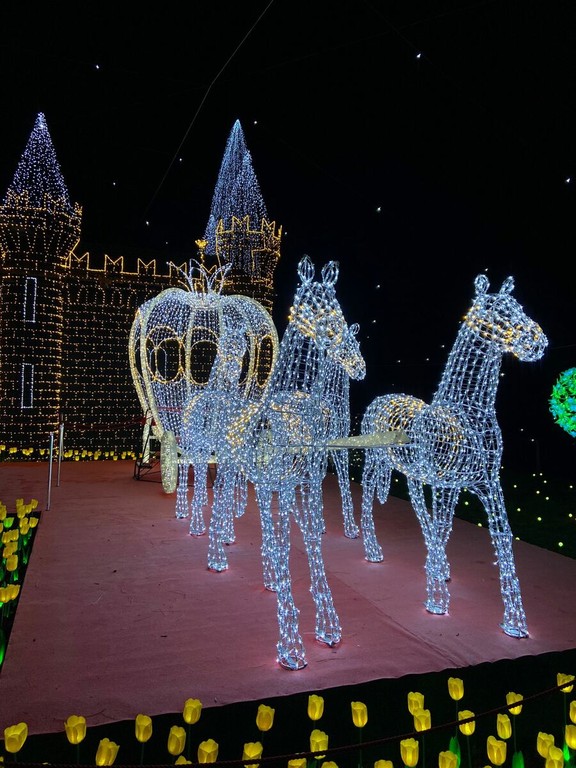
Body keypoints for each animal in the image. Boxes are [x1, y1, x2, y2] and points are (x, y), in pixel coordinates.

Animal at [204, 255, 366, 669]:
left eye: (338, 307)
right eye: (314, 308)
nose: (358, 366)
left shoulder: (303, 485)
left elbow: (309, 543)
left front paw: (329, 627)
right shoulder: (272, 483)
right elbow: (283, 545)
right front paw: (291, 647)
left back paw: (267, 577)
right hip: (233, 467)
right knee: (222, 501)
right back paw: (217, 557)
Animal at [359, 274, 548, 638]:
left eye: (518, 307)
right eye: (497, 312)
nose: (538, 342)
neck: (469, 416)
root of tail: (381, 396)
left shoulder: (490, 484)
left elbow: (502, 537)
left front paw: (515, 623)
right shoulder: (446, 486)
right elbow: (444, 527)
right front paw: (436, 601)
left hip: (413, 475)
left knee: (419, 510)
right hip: (377, 463)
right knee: (367, 495)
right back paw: (373, 551)